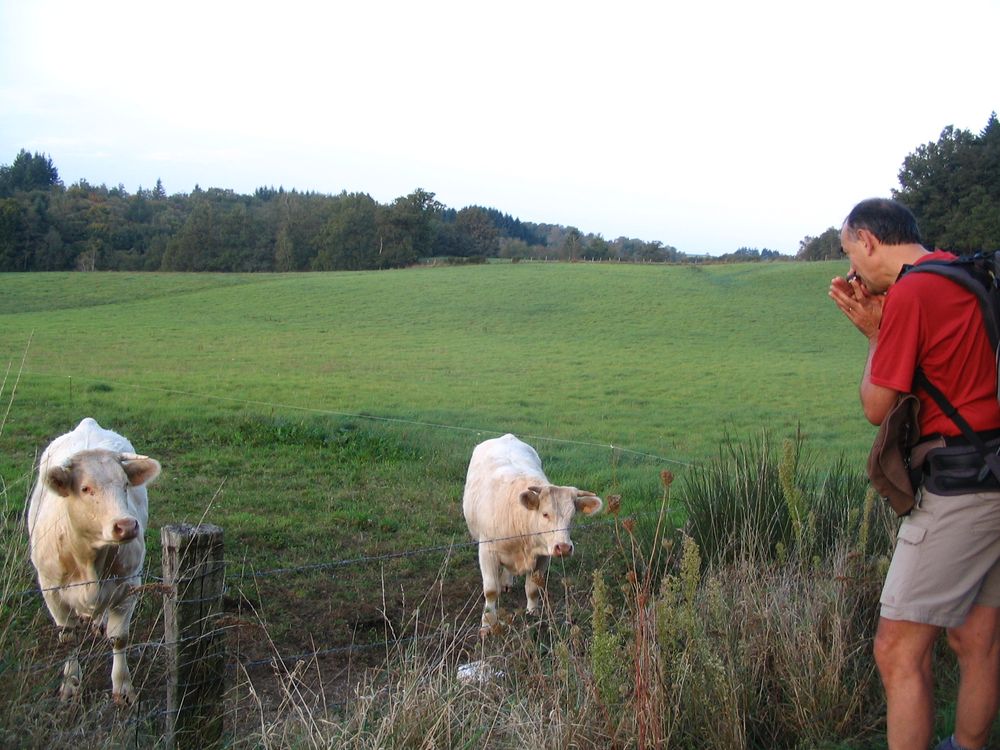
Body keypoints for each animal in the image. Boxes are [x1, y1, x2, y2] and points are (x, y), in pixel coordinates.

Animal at [27, 418, 160, 705]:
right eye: (85, 488)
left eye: (125, 485)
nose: (126, 525)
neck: (91, 559)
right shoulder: (51, 589)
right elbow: (68, 638)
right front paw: (70, 683)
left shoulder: (129, 585)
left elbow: (119, 638)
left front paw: (123, 687)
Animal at [462, 433, 602, 634]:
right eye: (545, 514)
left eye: (572, 516)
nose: (564, 547)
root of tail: (506, 436)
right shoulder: (487, 551)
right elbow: (490, 591)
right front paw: (488, 624)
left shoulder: (544, 555)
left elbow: (533, 588)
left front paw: (533, 612)